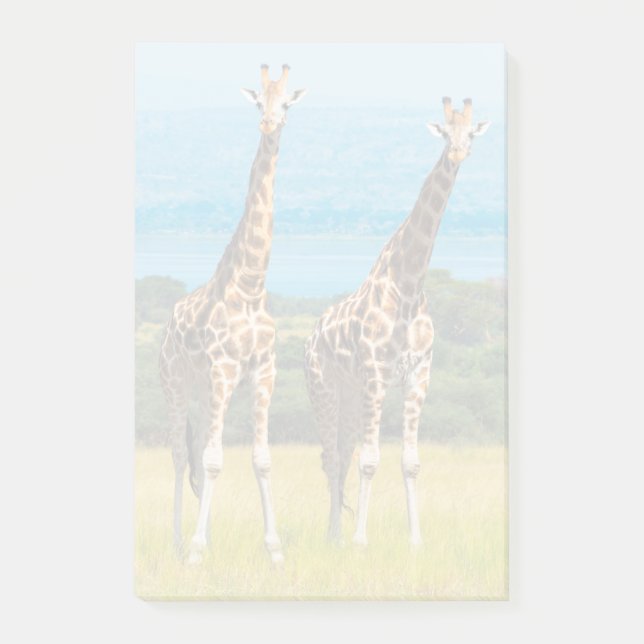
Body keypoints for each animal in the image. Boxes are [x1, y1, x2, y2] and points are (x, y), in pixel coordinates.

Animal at [159, 64, 306, 565]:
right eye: (259, 101)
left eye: (285, 103)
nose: (269, 124)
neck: (251, 286)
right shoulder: (223, 369)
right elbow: (213, 459)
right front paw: (197, 551)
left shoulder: (264, 372)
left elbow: (260, 459)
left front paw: (275, 550)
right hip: (178, 384)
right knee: (180, 455)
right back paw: (179, 541)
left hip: (205, 394)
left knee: (196, 451)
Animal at [304, 98, 489, 546]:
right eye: (444, 131)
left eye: (471, 132)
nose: (458, 153)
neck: (407, 286)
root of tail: (309, 339)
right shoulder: (376, 372)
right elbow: (371, 460)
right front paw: (360, 542)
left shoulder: (418, 374)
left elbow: (410, 461)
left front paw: (416, 541)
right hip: (324, 389)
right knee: (331, 457)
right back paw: (334, 536)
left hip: (351, 396)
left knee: (342, 454)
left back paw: (336, 533)